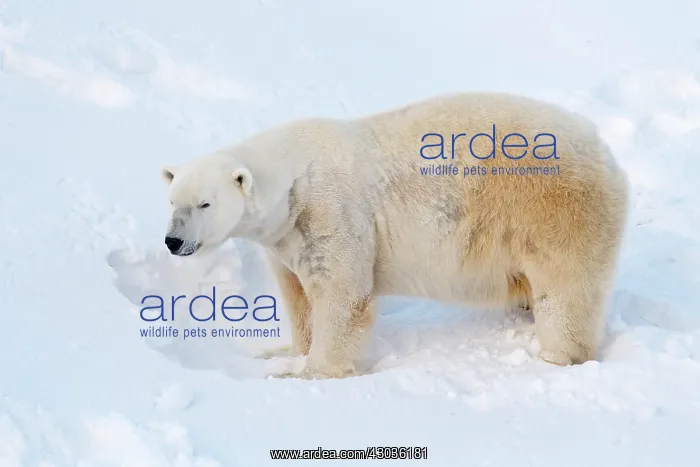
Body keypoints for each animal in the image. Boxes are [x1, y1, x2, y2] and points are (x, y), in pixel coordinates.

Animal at [160, 92, 629, 380]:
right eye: (172, 201)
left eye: (204, 204)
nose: (174, 242)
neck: (293, 180)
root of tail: (608, 155)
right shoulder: (287, 236)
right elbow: (297, 295)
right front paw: (282, 352)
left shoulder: (331, 211)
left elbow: (342, 295)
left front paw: (308, 373)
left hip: (555, 210)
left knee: (565, 291)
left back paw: (555, 355)